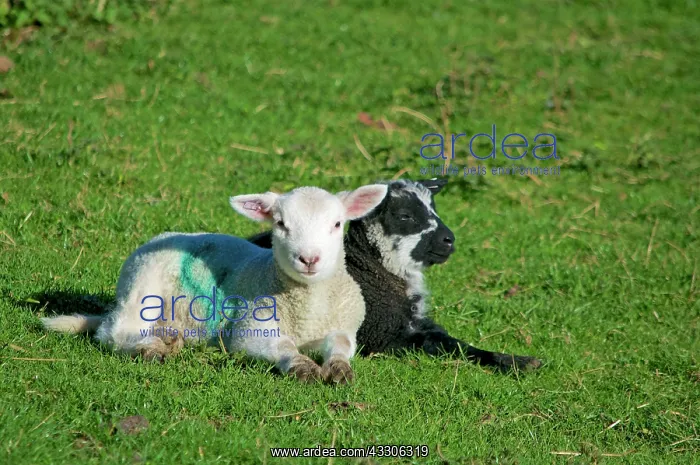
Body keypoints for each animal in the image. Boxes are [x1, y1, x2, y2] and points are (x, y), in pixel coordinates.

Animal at [41, 184, 389, 384]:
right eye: (280, 224)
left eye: (337, 224)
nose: (309, 259)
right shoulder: (249, 330)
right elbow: (283, 346)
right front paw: (302, 367)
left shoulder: (343, 326)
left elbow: (341, 345)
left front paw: (340, 369)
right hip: (141, 288)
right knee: (112, 333)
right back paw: (149, 348)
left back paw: (169, 338)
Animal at [248, 178, 542, 372]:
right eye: (404, 215)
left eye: (435, 209)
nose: (449, 240)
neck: (371, 274)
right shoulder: (382, 337)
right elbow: (442, 344)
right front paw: (518, 362)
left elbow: (449, 340)